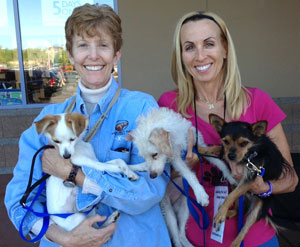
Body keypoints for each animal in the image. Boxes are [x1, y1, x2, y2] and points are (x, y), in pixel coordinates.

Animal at [126, 108, 234, 247]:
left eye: (154, 154)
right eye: (144, 157)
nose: (152, 176)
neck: (176, 138)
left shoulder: (199, 148)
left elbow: (220, 163)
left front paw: (230, 176)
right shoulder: (176, 160)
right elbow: (188, 174)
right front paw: (200, 193)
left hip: (185, 208)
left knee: (182, 234)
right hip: (169, 214)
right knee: (176, 237)